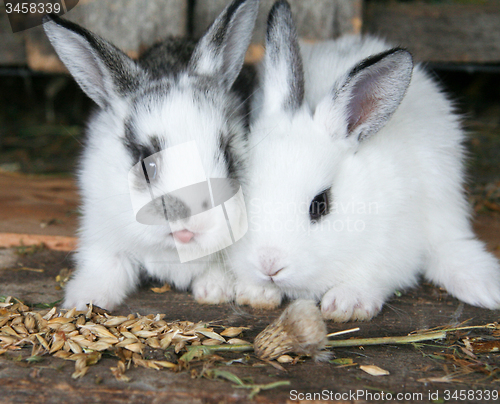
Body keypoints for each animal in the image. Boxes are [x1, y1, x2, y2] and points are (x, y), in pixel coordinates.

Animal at [43, 0, 260, 310]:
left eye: (228, 155)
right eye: (147, 165)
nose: (189, 228)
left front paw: (215, 290)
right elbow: (105, 267)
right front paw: (83, 300)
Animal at [231, 0, 500, 322]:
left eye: (320, 205)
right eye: (242, 195)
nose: (269, 264)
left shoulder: (391, 250)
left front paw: (346, 303)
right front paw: (255, 292)